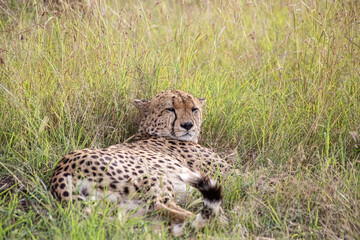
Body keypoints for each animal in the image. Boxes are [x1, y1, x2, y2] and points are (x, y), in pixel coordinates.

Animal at [50, 89, 231, 232]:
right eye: (170, 109)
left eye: (194, 109)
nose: (187, 125)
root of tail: (60, 171)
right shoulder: (225, 172)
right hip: (155, 176)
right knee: (161, 205)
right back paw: (218, 222)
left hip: (123, 207)